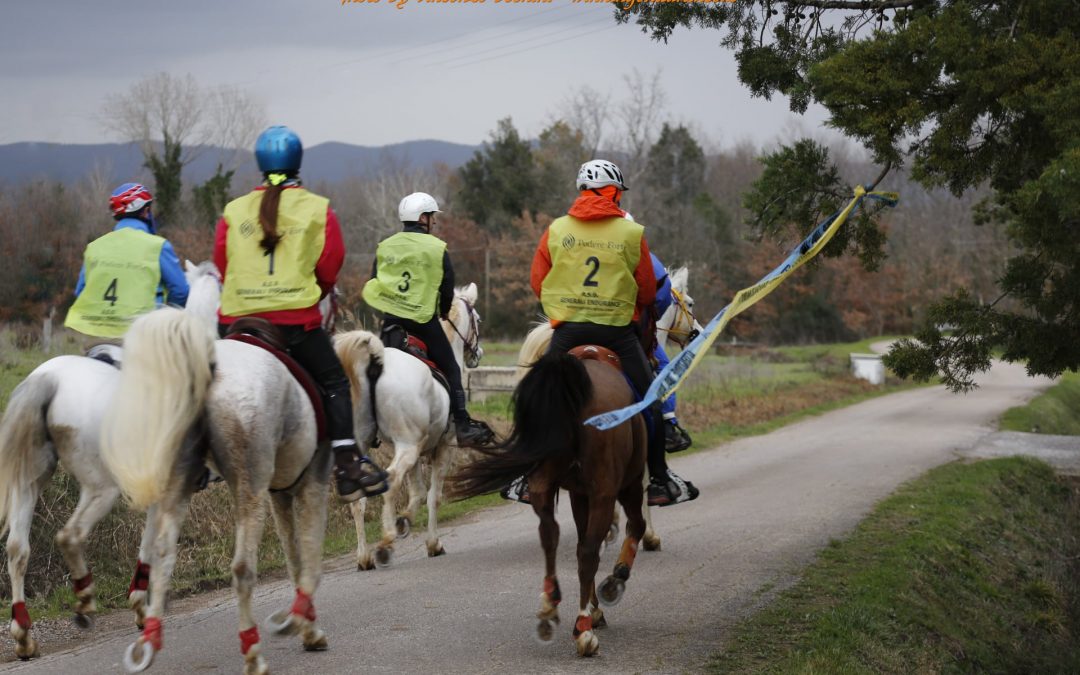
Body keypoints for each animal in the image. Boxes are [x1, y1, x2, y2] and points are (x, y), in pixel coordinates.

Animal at [0, 259, 219, 656]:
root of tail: (47, 382)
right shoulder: (165, 491)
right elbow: (151, 546)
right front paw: (141, 607)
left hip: (29, 481)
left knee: (17, 548)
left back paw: (24, 634)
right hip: (101, 488)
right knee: (70, 535)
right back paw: (84, 601)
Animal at [102, 302, 334, 673]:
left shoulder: (281, 492)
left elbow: (294, 557)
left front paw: (306, 627)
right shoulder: (312, 480)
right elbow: (310, 559)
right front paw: (303, 626)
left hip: (179, 482)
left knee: (162, 552)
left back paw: (149, 641)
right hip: (249, 486)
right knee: (242, 568)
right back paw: (253, 653)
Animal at [336, 280, 486, 570]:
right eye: (477, 319)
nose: (478, 354)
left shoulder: (418, 451)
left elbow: (417, 492)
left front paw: (402, 521)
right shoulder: (443, 447)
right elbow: (432, 496)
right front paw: (432, 543)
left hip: (372, 445)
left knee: (358, 500)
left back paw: (364, 557)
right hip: (407, 446)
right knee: (391, 480)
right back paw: (384, 544)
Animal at [449, 349, 648, 656]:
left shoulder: (579, 494)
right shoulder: (622, 486)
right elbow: (633, 527)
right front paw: (614, 582)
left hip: (544, 486)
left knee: (550, 535)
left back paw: (550, 605)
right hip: (608, 491)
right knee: (589, 552)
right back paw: (583, 629)